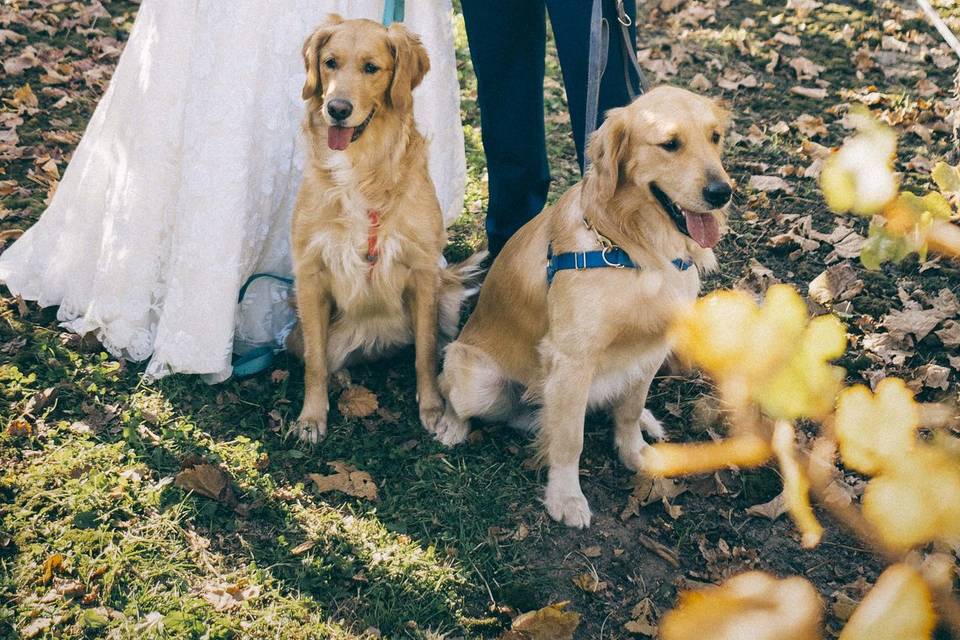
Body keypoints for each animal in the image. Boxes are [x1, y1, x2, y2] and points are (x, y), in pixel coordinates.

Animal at [284, 16, 480, 444]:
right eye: (330, 62)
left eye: (371, 68)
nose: (336, 108)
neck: (361, 167)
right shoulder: (310, 273)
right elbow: (315, 360)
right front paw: (311, 416)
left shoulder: (423, 271)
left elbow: (425, 352)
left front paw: (433, 408)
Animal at [436, 89, 736, 528]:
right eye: (670, 144)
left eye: (715, 137)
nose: (721, 192)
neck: (632, 250)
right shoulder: (572, 359)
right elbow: (568, 440)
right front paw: (565, 497)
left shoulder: (651, 347)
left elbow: (629, 409)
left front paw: (635, 452)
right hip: (475, 375)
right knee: (457, 396)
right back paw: (451, 426)